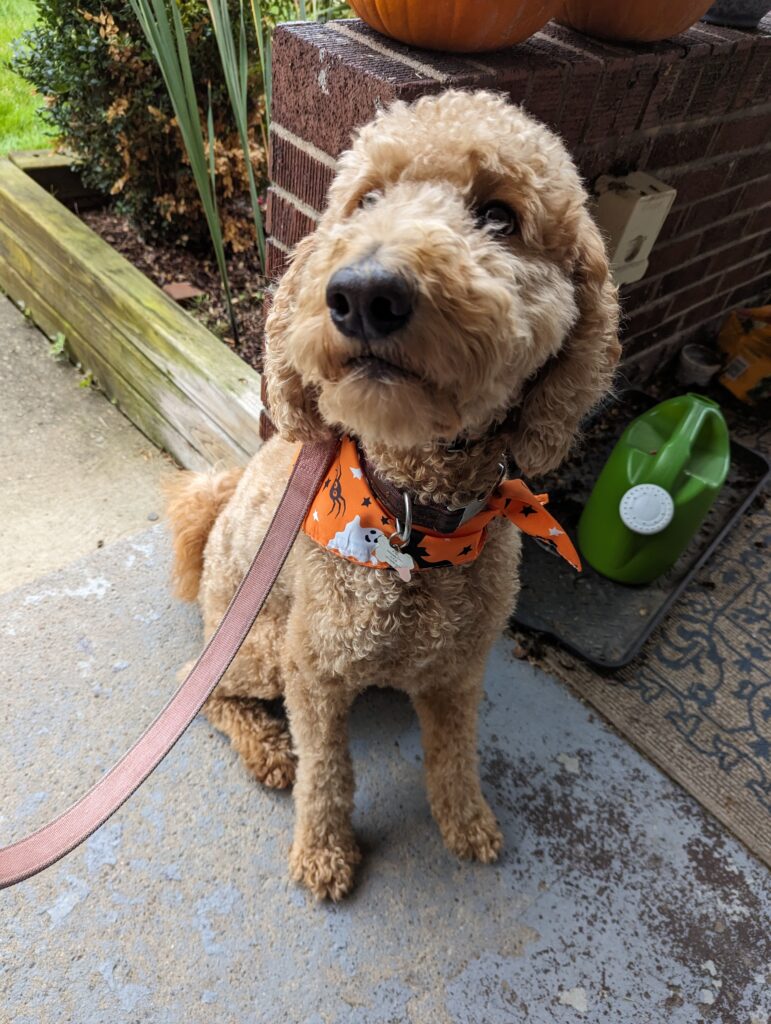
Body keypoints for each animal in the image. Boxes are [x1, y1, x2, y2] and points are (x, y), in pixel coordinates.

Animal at [167, 92, 618, 901]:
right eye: (365, 200)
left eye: (499, 217)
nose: (364, 293)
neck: (414, 519)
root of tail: (219, 508)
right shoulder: (310, 670)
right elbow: (326, 774)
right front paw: (323, 853)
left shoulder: (458, 671)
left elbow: (454, 753)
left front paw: (467, 822)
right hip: (257, 644)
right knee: (201, 685)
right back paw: (266, 751)